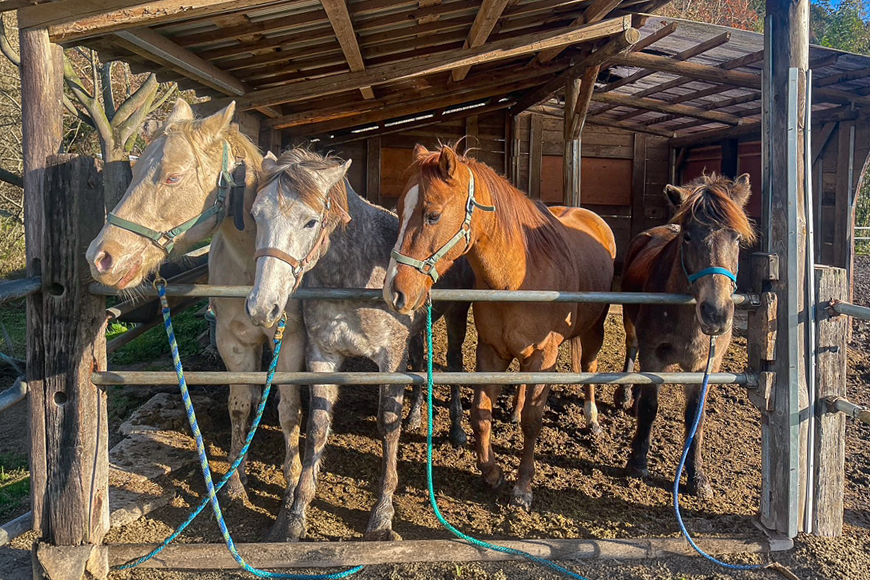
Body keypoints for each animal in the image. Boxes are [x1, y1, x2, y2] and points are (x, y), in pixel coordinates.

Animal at [85, 99, 309, 541]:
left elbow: (289, 411)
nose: (101, 257)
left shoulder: (289, 341)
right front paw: (236, 483)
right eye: (136, 171)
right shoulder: (233, 342)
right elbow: (240, 405)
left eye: (173, 177)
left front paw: (291, 495)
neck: (255, 266)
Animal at [244, 148, 471, 541]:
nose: (262, 306)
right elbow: (317, 426)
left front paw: (382, 515)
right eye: (257, 215)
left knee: (454, 363)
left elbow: (387, 424)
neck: (351, 276)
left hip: (456, 319)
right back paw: (416, 415)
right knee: (420, 361)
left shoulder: (389, 360)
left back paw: (456, 429)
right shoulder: (322, 356)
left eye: (310, 222)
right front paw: (296, 513)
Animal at [384, 144, 616, 510]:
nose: (394, 291)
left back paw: (592, 420)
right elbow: (480, 412)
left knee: (589, 368)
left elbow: (534, 421)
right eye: (398, 210)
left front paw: (523, 488)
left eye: (432, 215)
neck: (519, 274)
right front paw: (491, 472)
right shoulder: (491, 351)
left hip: (594, 329)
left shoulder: (544, 356)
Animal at [616, 173, 754, 499]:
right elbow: (650, 408)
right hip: (631, 324)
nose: (716, 313)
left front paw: (697, 478)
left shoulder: (705, 367)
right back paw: (626, 394)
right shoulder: (653, 355)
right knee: (631, 351)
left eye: (737, 238)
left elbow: (695, 418)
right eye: (688, 237)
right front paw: (637, 463)